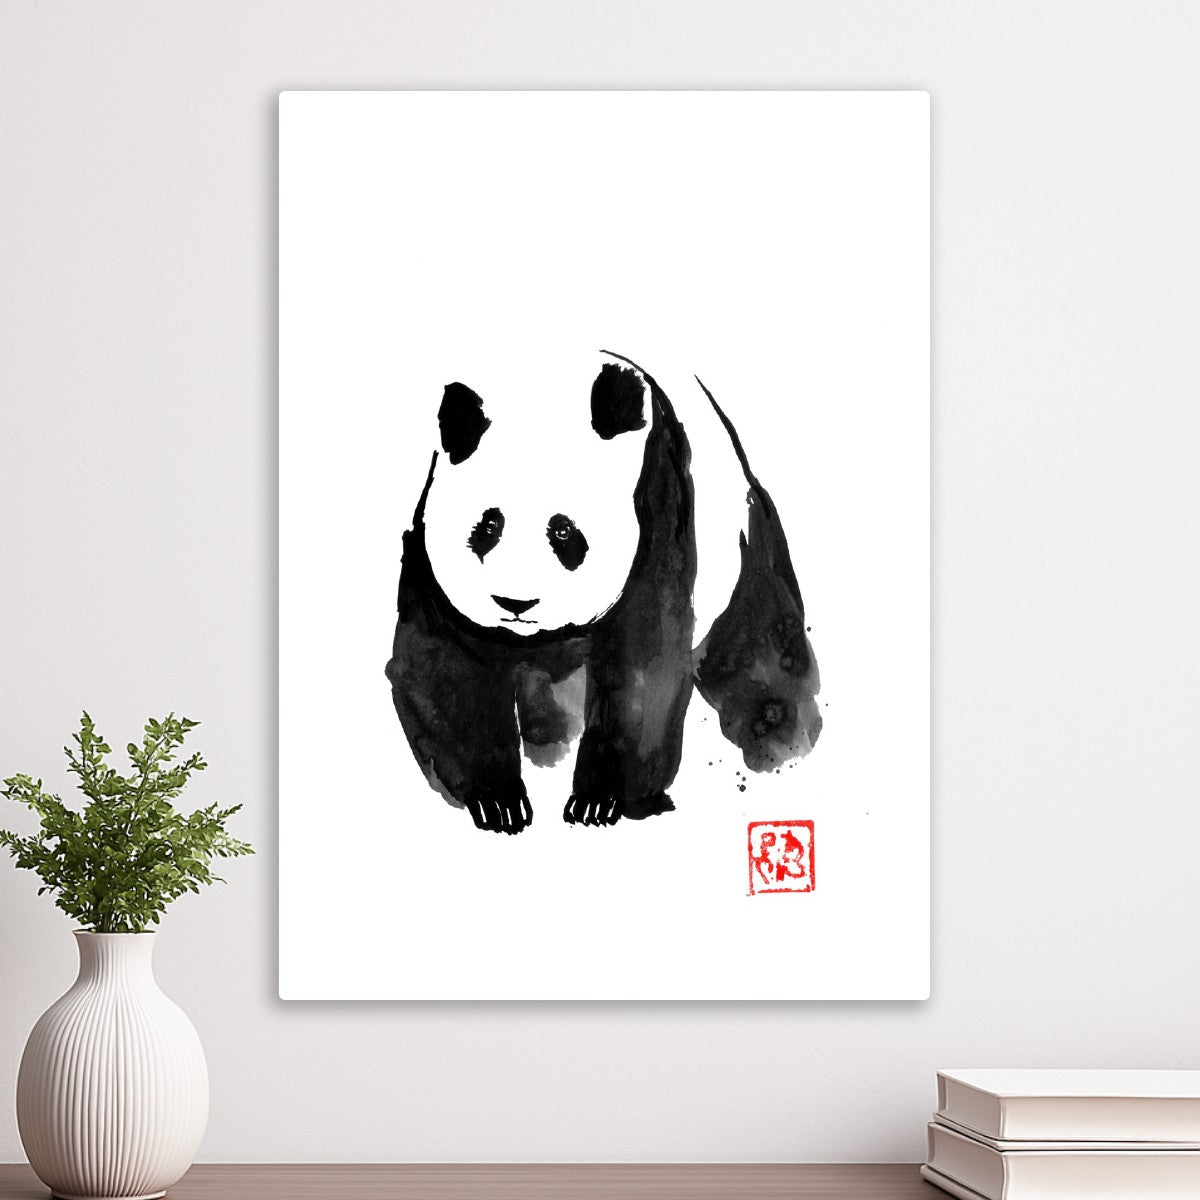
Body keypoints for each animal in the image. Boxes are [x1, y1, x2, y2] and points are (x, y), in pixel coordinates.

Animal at [385, 350, 822, 834]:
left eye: (563, 530)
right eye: (488, 525)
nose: (516, 604)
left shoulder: (660, 509)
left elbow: (643, 669)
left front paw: (597, 802)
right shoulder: (429, 561)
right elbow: (444, 667)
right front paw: (498, 803)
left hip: (745, 558)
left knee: (759, 653)